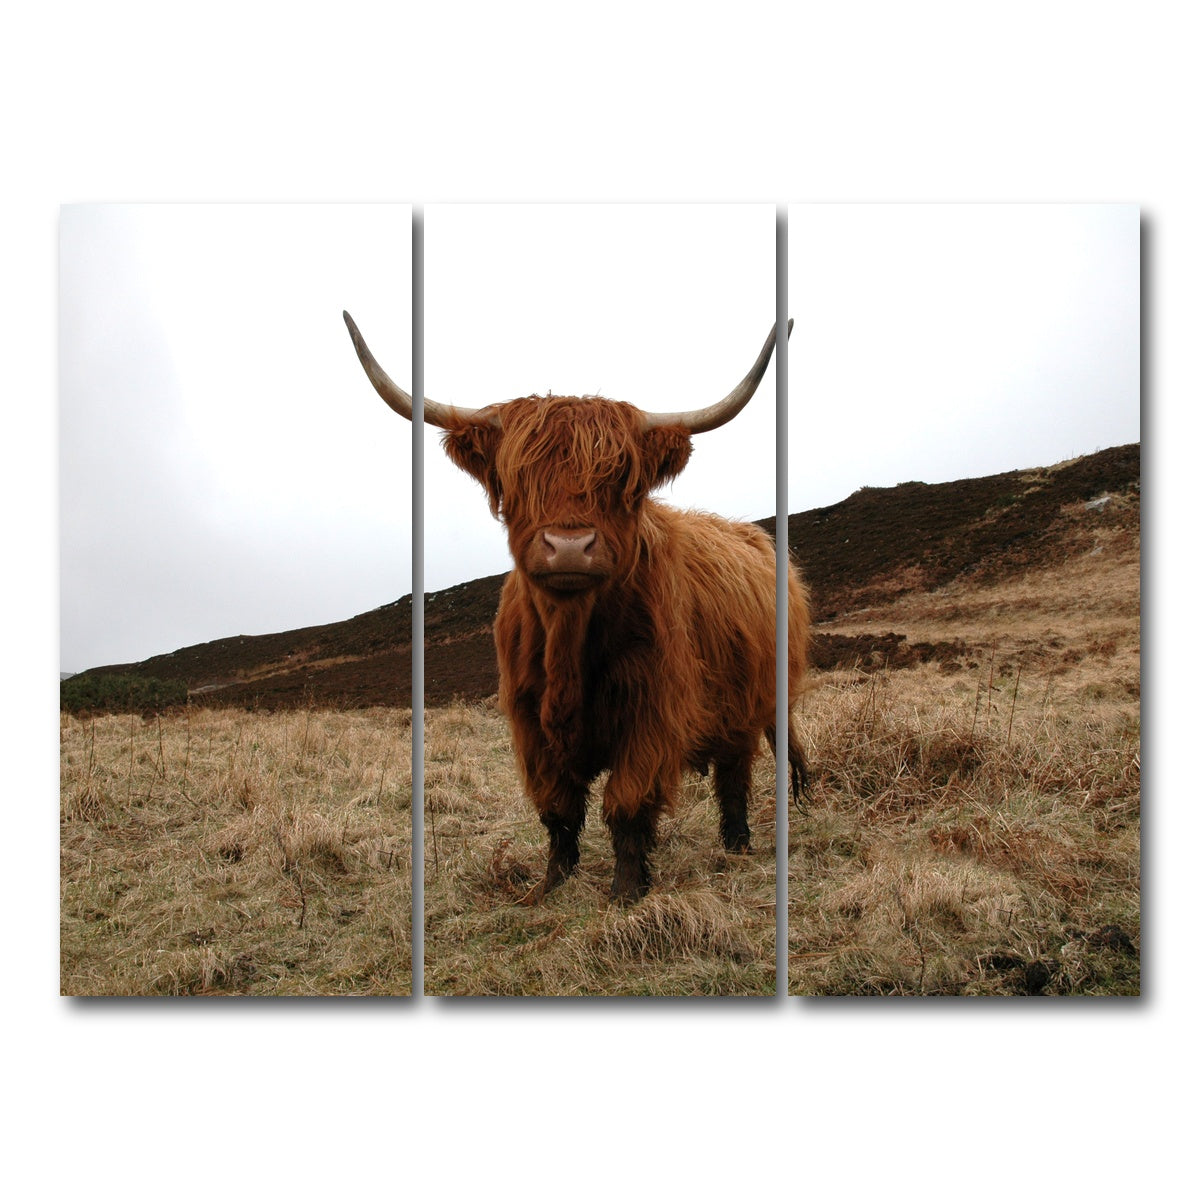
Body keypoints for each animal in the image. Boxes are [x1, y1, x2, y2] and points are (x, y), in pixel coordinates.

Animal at [344, 312, 810, 903]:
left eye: (620, 481)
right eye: (518, 478)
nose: (568, 546)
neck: (568, 643)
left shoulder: (652, 712)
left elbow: (627, 803)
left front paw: (627, 890)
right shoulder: (528, 722)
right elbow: (557, 808)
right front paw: (550, 884)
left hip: (756, 704)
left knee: (735, 775)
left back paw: (738, 845)